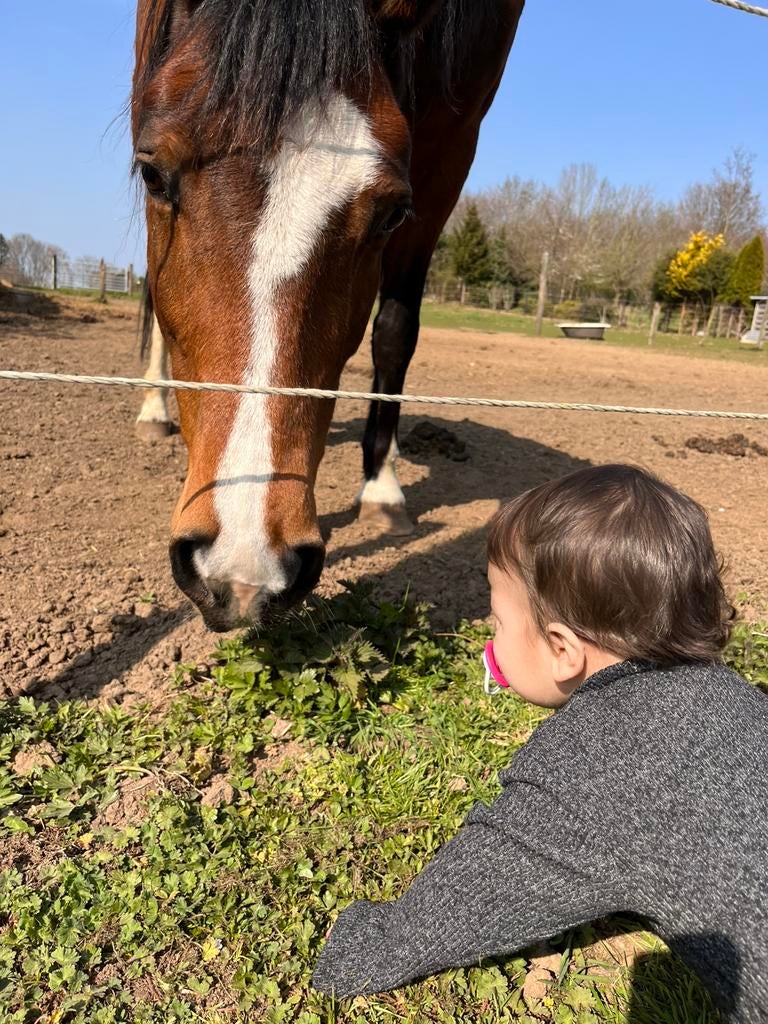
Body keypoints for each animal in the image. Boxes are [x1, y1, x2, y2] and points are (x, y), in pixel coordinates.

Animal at [132, 0, 524, 631]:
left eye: (393, 213)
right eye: (151, 174)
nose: (243, 570)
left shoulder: (451, 151)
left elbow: (395, 331)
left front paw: (382, 485)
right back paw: (153, 409)